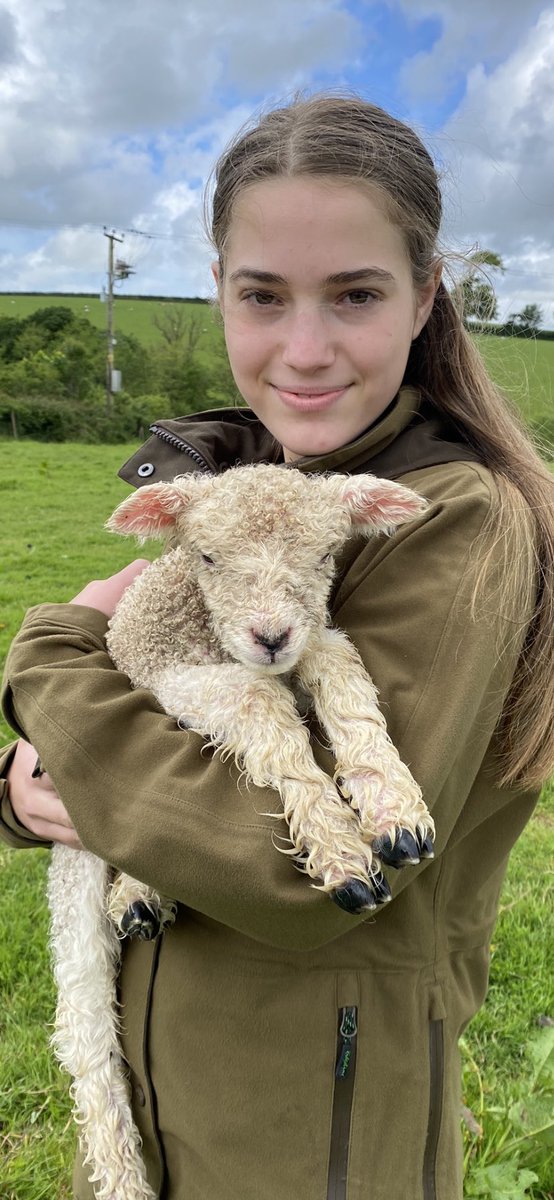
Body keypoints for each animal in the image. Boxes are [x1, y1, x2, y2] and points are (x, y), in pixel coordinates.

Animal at [47, 463, 435, 1200]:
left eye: (325, 555)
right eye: (206, 557)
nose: (271, 635)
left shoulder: (313, 636)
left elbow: (339, 666)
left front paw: (394, 808)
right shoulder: (166, 677)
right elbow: (261, 698)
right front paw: (341, 853)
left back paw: (140, 896)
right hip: (70, 862)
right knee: (86, 1035)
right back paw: (123, 1175)